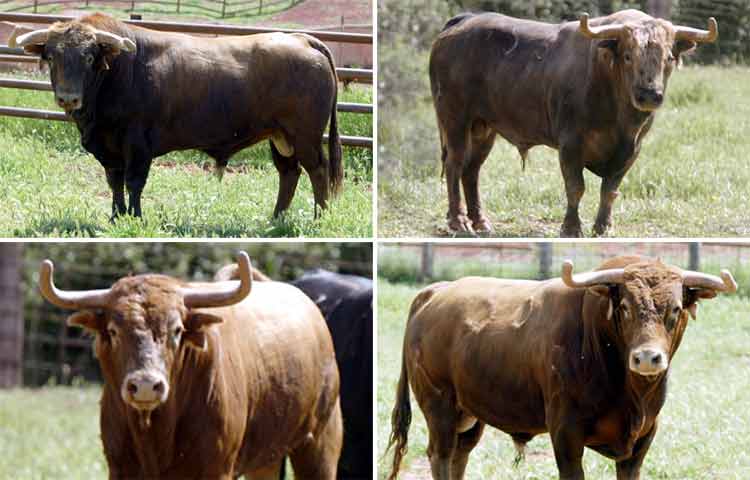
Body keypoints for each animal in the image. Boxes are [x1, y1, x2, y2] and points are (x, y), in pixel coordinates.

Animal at [11, 12, 342, 219]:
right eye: (51, 56)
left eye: (89, 57)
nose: (68, 97)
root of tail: (301, 39)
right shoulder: (110, 148)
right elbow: (114, 183)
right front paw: (116, 217)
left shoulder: (137, 144)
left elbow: (134, 182)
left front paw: (135, 217)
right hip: (279, 136)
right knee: (289, 173)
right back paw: (277, 219)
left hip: (305, 135)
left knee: (318, 171)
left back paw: (319, 218)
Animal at [40, 253, 344, 478]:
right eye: (114, 331)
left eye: (177, 330)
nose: (146, 386)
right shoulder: (120, 468)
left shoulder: (216, 469)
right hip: (266, 459)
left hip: (319, 444)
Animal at [388, 256, 740, 478]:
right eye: (625, 307)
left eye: (676, 308)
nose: (647, 358)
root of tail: (437, 291)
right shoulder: (566, 434)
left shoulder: (642, 441)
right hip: (439, 407)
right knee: (441, 455)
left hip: (471, 413)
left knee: (460, 455)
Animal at [428, 10, 716, 237]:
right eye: (627, 56)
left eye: (669, 58)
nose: (649, 95)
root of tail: (462, 22)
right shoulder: (570, 144)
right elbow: (575, 187)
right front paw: (571, 228)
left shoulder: (631, 150)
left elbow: (609, 191)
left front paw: (603, 227)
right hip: (455, 120)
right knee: (455, 165)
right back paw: (459, 222)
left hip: (483, 128)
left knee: (471, 171)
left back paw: (481, 222)